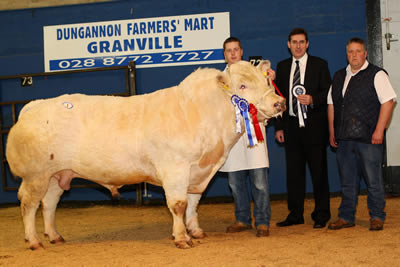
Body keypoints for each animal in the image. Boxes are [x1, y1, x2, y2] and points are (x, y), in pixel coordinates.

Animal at [5, 60, 284, 249]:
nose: (279, 103)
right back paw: (34, 240)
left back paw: (54, 236)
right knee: (29, 204)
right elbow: (179, 204)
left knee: (49, 204)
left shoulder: (198, 171)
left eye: (267, 81)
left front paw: (195, 231)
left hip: (57, 173)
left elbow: (193, 203)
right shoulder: (175, 167)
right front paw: (181, 238)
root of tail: (33, 107)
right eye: (243, 85)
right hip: (35, 175)